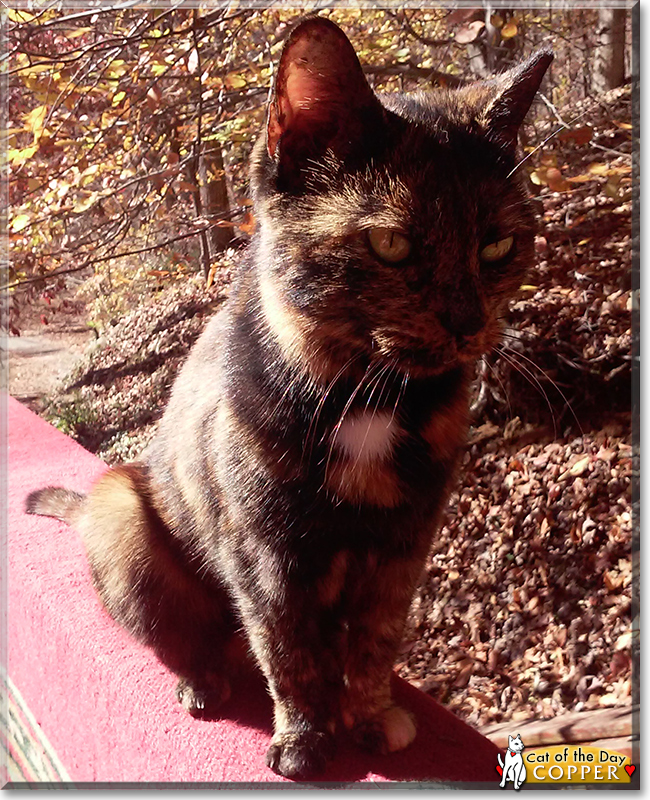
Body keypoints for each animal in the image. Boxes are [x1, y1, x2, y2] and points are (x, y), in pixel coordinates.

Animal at [25, 15, 552, 780]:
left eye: (498, 246)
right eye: (390, 243)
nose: (467, 321)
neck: (369, 399)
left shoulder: (404, 547)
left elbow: (375, 640)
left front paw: (368, 715)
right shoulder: (266, 553)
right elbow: (286, 646)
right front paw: (304, 739)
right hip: (122, 515)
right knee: (194, 641)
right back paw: (205, 682)